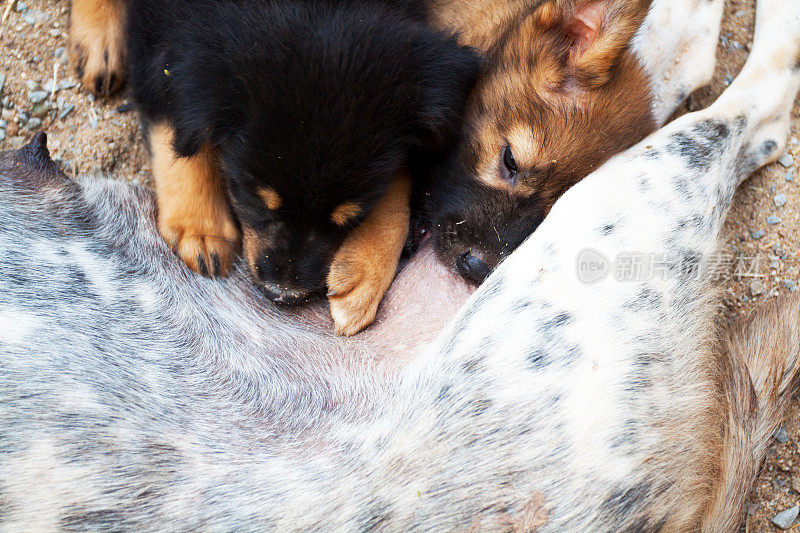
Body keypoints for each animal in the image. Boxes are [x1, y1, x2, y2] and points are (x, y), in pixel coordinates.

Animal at [122, 0, 478, 332]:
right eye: (254, 200)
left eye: (351, 217)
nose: (283, 295)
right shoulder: (156, 29)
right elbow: (170, 116)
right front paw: (200, 226)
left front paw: (366, 270)